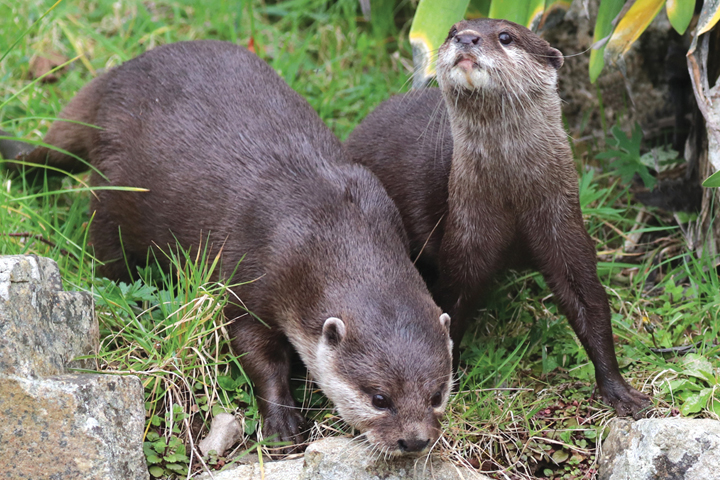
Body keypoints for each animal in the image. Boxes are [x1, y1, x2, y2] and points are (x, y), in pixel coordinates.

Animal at [5, 40, 454, 454]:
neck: (330, 222)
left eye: (437, 394)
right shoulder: (249, 278)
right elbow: (255, 352)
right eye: (379, 398)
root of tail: (112, 80)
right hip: (113, 193)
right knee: (106, 248)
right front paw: (282, 425)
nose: (414, 441)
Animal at [345, 19, 651, 418]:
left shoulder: (564, 223)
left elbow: (591, 304)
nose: (466, 38)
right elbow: (450, 308)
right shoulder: (465, 237)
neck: (512, 199)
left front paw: (620, 391)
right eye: (451, 30)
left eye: (505, 36)